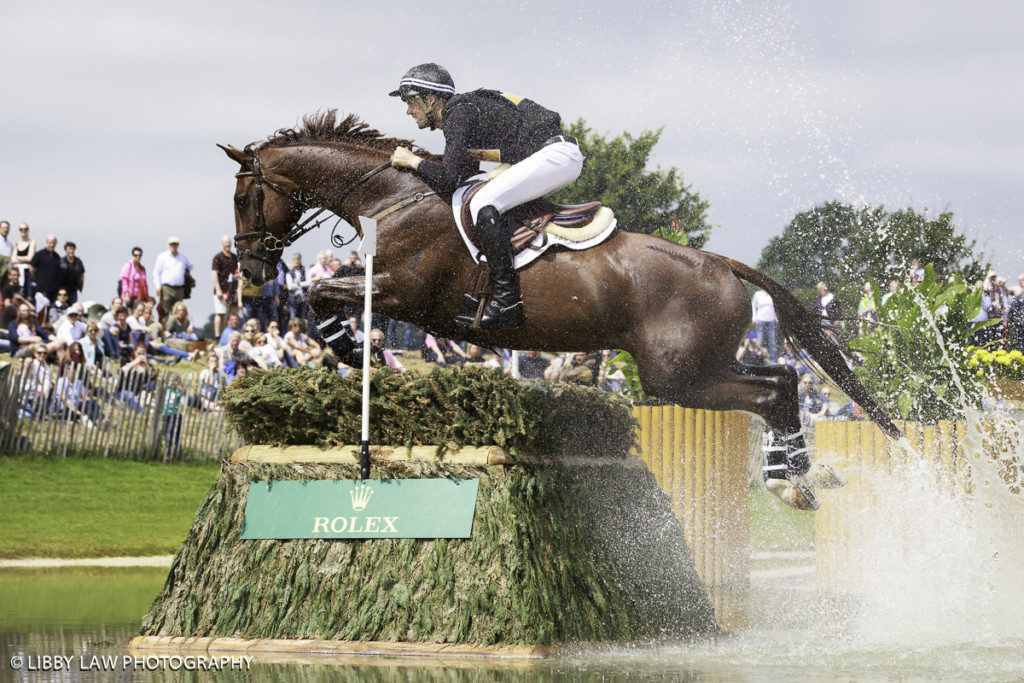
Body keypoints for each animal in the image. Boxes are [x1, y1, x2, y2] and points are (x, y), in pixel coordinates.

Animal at [220, 111, 901, 507]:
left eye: (244, 198)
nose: (251, 271)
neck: (394, 195)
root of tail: (720, 263)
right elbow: (324, 292)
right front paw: (358, 352)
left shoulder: (402, 292)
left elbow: (322, 294)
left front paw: (356, 349)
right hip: (699, 365)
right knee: (784, 379)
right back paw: (797, 475)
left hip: (675, 375)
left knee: (767, 391)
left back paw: (789, 481)